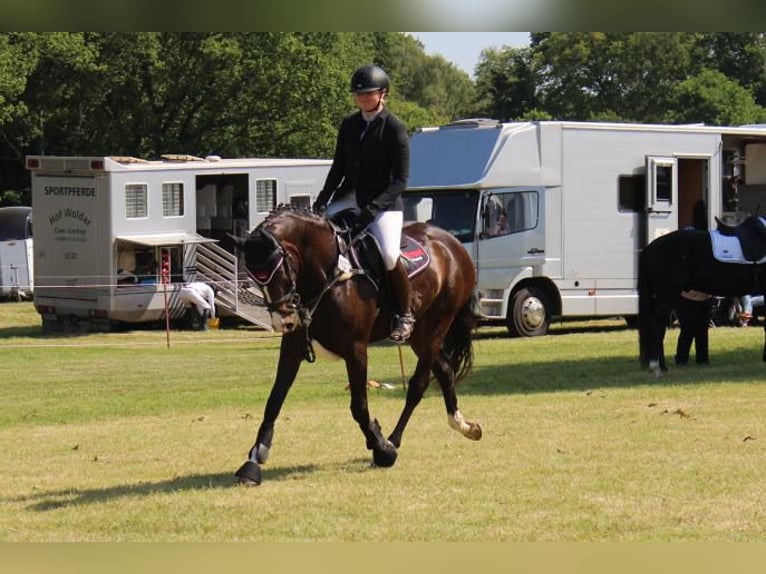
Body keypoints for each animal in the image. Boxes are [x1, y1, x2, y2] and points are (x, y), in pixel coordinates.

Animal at [231, 207, 484, 486]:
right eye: (254, 277)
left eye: (279, 270)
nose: (282, 321)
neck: (327, 275)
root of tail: (452, 242)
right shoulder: (293, 347)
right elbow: (274, 402)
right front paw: (253, 461)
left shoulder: (356, 349)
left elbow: (359, 407)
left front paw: (382, 449)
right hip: (420, 336)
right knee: (445, 370)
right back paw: (464, 425)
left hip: (434, 328)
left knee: (418, 385)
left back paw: (393, 442)